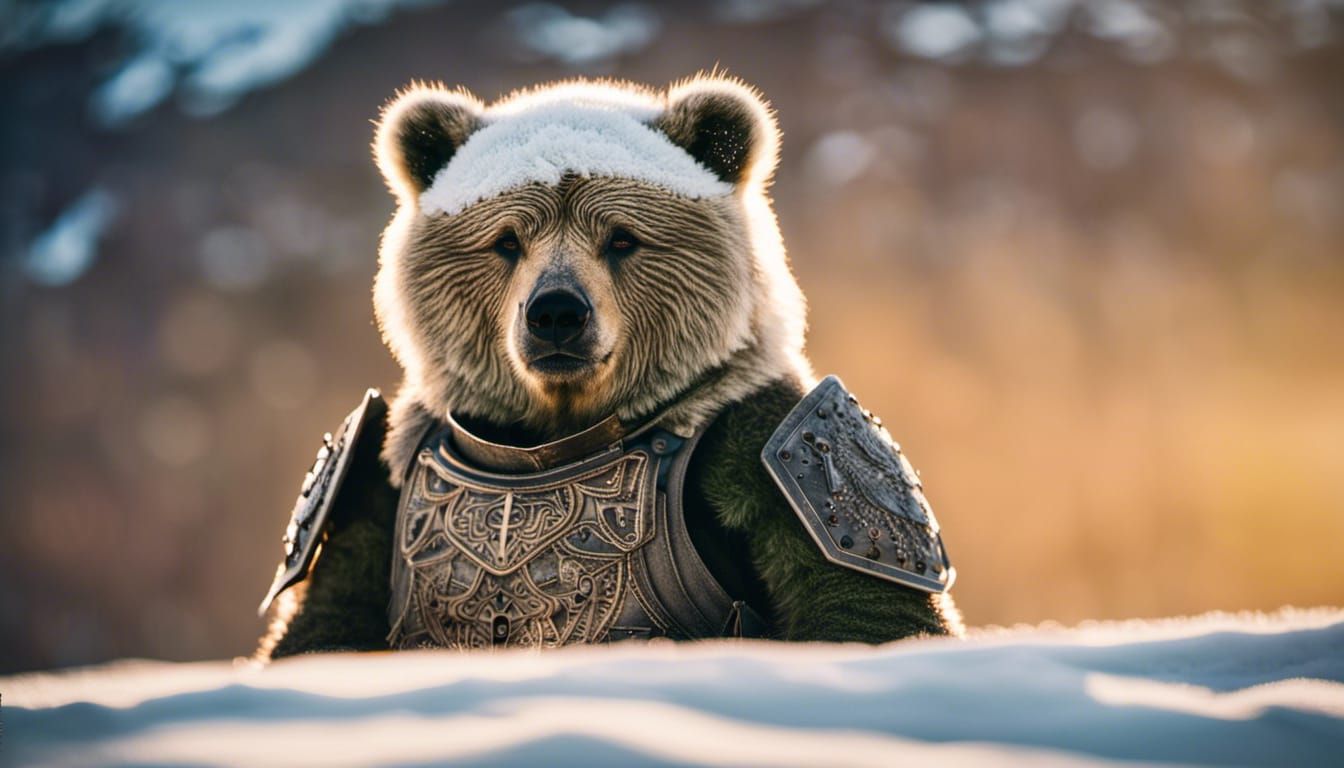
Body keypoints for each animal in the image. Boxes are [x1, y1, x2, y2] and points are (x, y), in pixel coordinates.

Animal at [257, 73, 962, 658]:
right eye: (506, 241)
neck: (552, 430)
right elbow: (325, 619)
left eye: (622, 238)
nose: (556, 313)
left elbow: (863, 607)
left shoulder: (774, 450)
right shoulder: (376, 475)